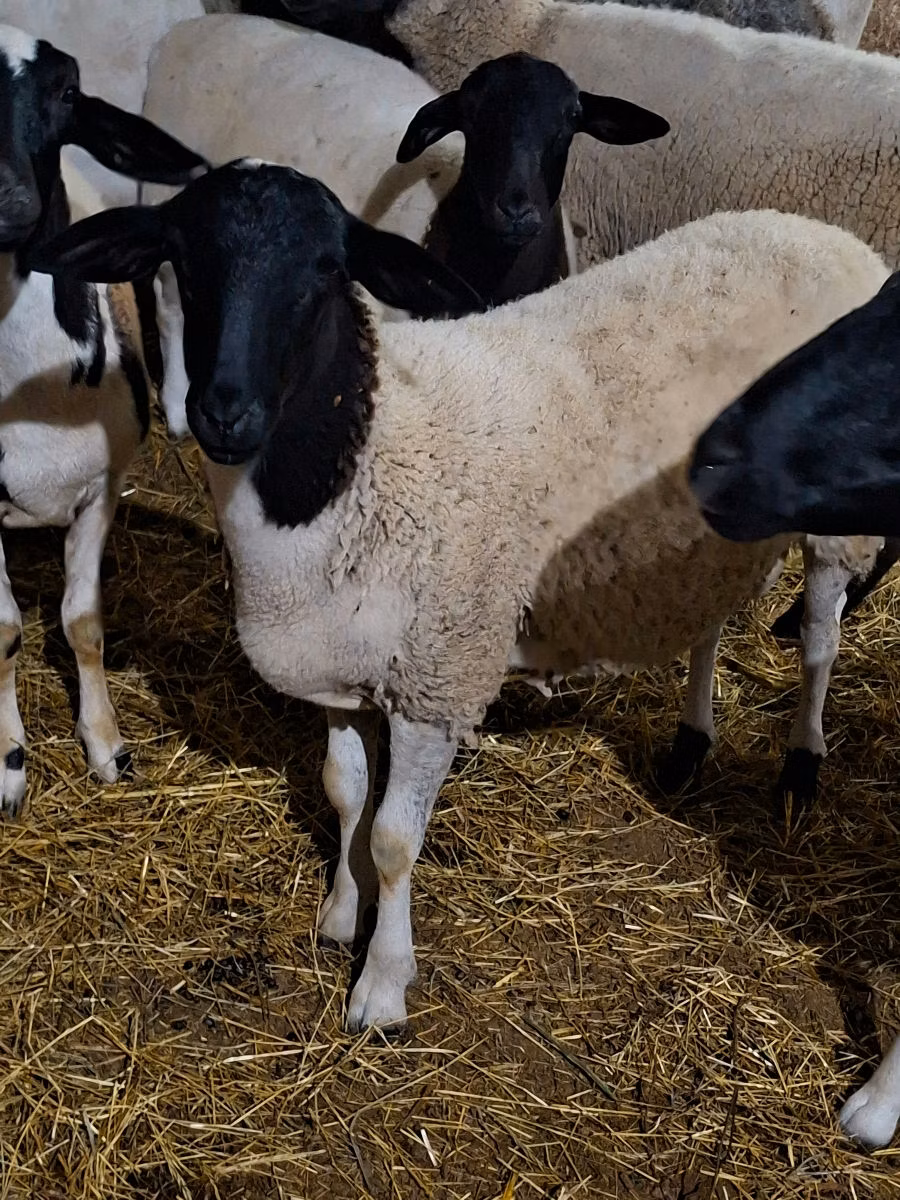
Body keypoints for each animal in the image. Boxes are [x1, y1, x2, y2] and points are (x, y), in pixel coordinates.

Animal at [0, 27, 206, 816]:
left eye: (66, 92)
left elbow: (83, 624)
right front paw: (9, 763)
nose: (7, 199)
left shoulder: (101, 491)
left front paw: (106, 744)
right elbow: (6, 632)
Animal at [31, 160, 890, 1026]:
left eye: (325, 271)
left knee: (820, 637)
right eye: (183, 258)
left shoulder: (436, 682)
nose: (224, 413)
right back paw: (690, 743)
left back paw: (802, 763)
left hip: (832, 523)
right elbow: (344, 793)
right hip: (707, 534)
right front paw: (341, 914)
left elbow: (392, 839)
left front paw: (381, 987)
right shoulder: (341, 673)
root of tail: (818, 232)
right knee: (710, 619)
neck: (361, 457)